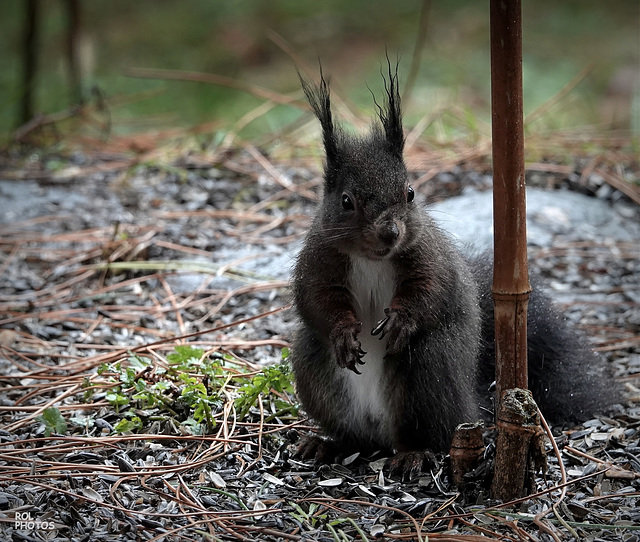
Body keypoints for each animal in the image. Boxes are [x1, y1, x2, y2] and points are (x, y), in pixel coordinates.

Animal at [290, 61, 620, 474]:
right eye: (346, 201)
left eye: (409, 193)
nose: (390, 232)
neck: (371, 258)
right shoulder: (318, 260)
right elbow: (316, 302)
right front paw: (343, 332)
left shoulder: (429, 256)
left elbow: (431, 289)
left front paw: (402, 320)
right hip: (314, 371)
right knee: (354, 436)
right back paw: (328, 444)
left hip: (429, 370)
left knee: (428, 430)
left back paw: (413, 453)